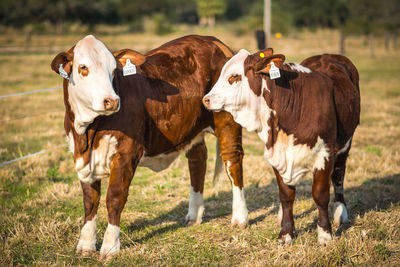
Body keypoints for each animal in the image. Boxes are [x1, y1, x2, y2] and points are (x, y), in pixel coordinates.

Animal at [50, 35, 247, 260]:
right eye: (83, 67)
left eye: (113, 70)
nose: (112, 101)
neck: (87, 134)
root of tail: (212, 40)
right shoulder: (82, 158)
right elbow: (90, 200)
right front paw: (85, 244)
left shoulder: (127, 153)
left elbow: (114, 197)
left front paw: (110, 246)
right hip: (192, 128)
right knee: (197, 161)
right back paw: (194, 215)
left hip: (228, 121)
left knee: (233, 161)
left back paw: (240, 218)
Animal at [203, 49, 360, 246]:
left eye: (234, 76)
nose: (206, 99)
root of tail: (327, 55)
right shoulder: (276, 154)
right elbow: (286, 196)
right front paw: (286, 233)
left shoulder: (324, 155)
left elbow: (320, 195)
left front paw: (325, 234)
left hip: (345, 145)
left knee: (339, 177)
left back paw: (341, 212)